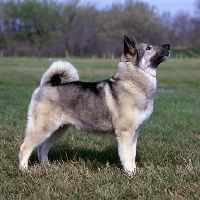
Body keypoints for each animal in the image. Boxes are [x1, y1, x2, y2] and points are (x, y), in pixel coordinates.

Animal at [18, 35, 170, 173]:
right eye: (148, 48)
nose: (168, 45)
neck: (132, 82)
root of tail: (46, 84)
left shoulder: (134, 133)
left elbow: (132, 155)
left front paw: (134, 172)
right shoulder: (125, 133)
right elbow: (127, 156)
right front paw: (130, 174)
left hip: (58, 129)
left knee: (42, 147)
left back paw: (46, 166)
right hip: (42, 128)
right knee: (25, 148)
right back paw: (24, 170)